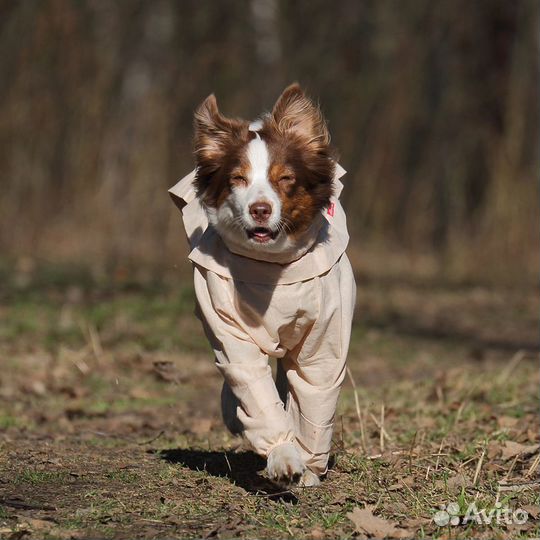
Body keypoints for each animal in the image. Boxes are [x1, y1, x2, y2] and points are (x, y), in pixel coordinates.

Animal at [169, 82, 354, 488]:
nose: (260, 210)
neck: (272, 270)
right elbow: (250, 382)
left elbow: (314, 388)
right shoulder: (226, 322)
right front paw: (283, 458)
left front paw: (309, 469)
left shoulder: (324, 337)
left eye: (285, 179)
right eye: (238, 179)